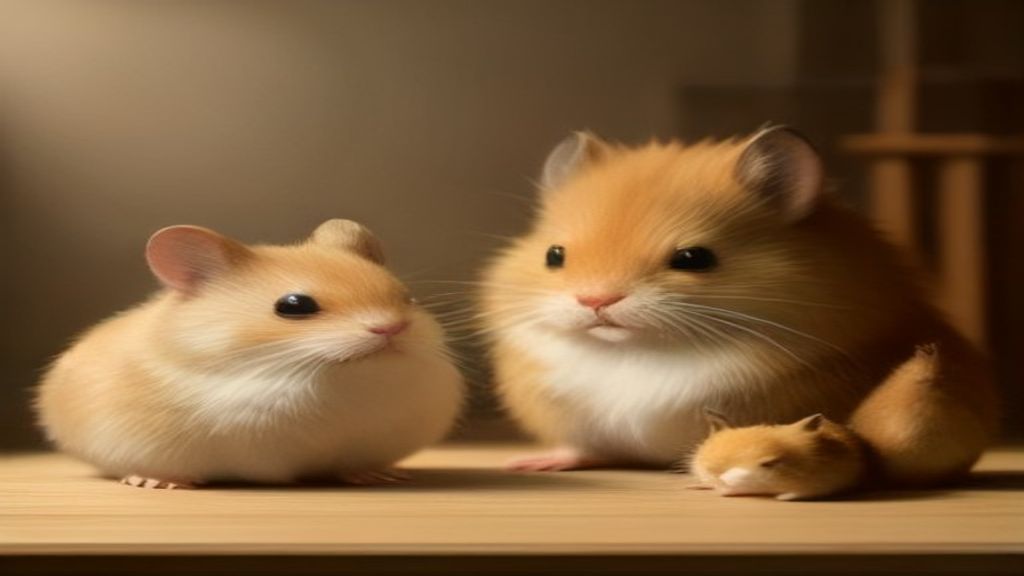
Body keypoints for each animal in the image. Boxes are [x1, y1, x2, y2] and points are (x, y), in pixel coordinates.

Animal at [479, 126, 998, 486]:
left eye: (694, 258)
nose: (595, 300)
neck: (638, 350)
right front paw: (525, 464)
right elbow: (582, 446)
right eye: (554, 256)